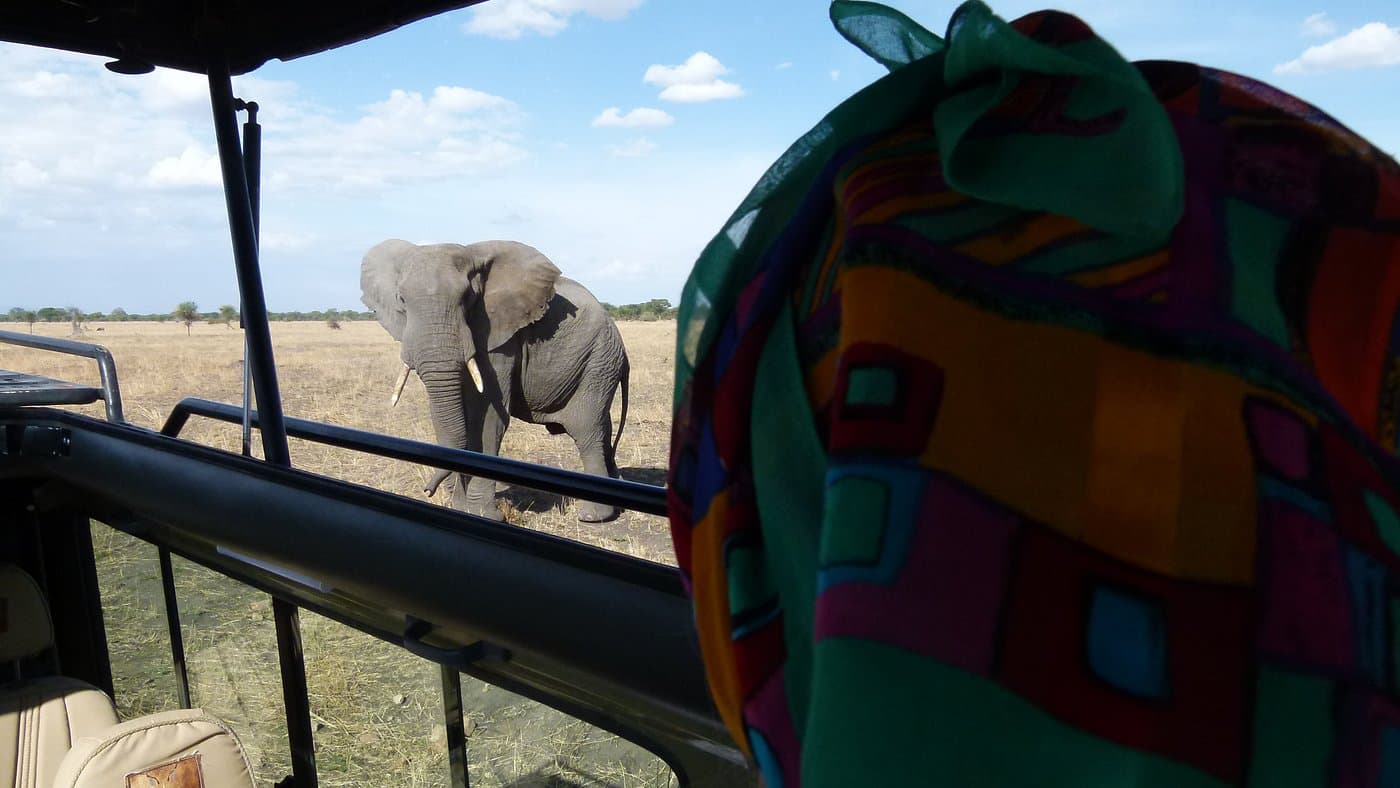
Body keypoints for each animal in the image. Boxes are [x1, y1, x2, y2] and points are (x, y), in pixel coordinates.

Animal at [360, 239, 629, 522]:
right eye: (401, 300)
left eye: (467, 299)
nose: (427, 490)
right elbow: (443, 413)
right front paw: (460, 507)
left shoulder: (499, 338)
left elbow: (486, 417)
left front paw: (483, 514)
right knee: (602, 426)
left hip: (598, 359)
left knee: (587, 428)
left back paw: (593, 515)